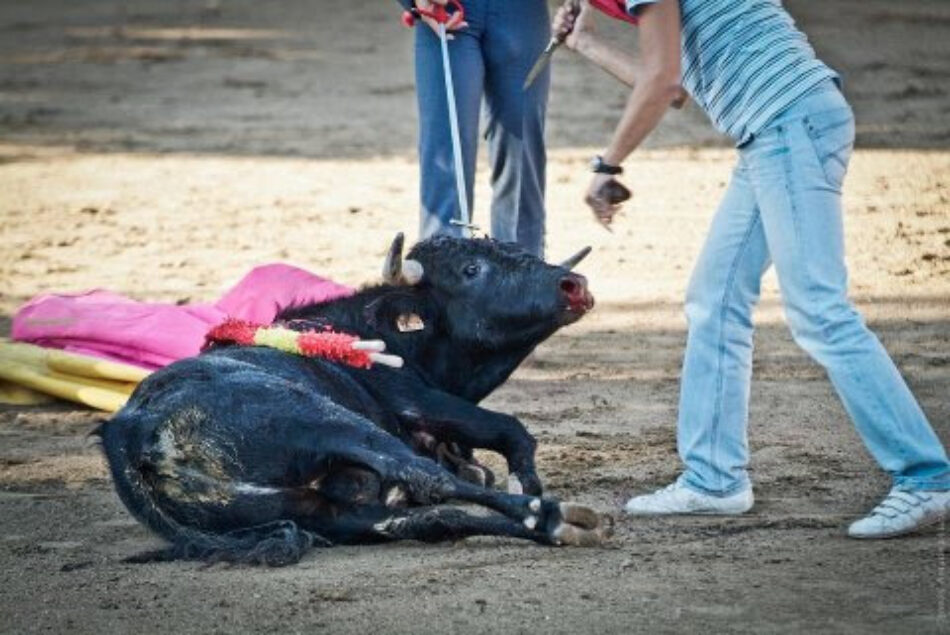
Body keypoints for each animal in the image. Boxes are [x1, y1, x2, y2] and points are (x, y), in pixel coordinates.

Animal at [98, 234, 608, 568]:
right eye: (471, 270)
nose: (574, 285)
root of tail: (131, 432)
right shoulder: (417, 398)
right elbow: (508, 429)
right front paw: (528, 483)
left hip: (320, 513)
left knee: (425, 519)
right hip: (324, 422)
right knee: (426, 478)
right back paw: (555, 516)